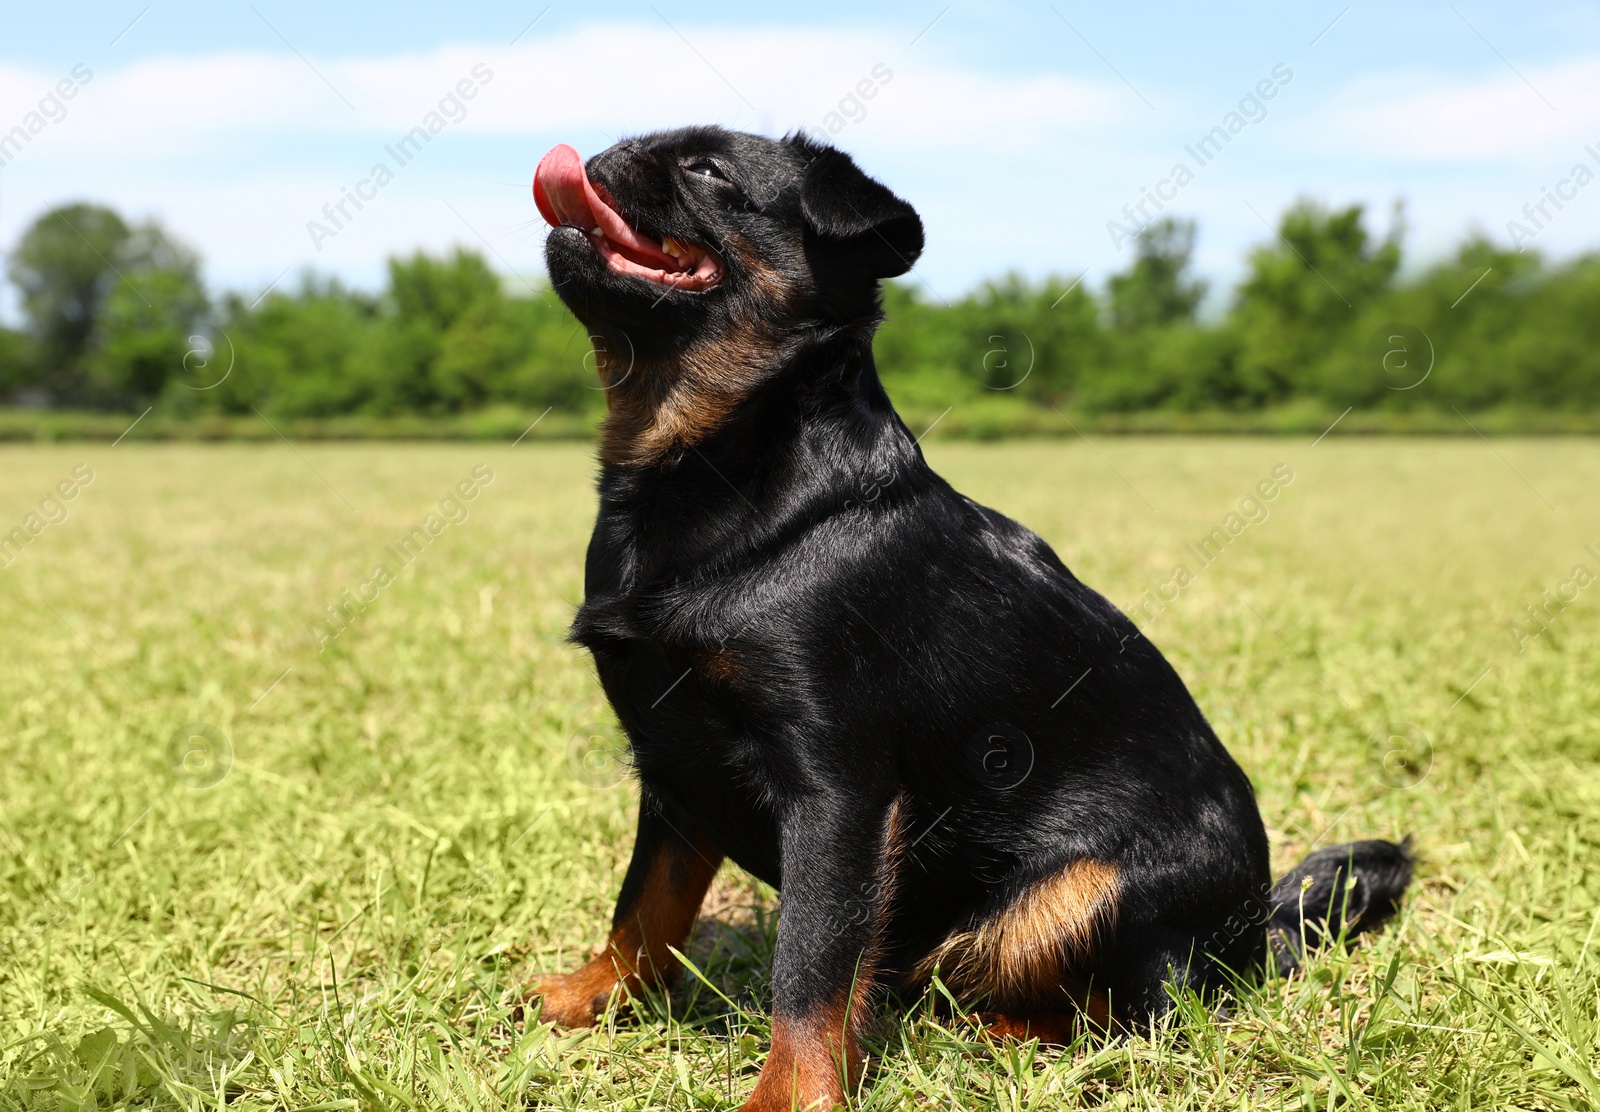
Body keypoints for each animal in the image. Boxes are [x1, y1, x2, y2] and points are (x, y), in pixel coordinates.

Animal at [528, 128, 1414, 1112]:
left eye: (707, 171)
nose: (603, 154)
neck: (703, 465)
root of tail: (1257, 934)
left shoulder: (837, 790)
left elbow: (811, 963)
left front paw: (790, 1093)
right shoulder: (674, 770)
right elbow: (645, 906)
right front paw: (594, 994)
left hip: (1082, 893)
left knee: (1149, 1015)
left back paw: (1002, 1035)